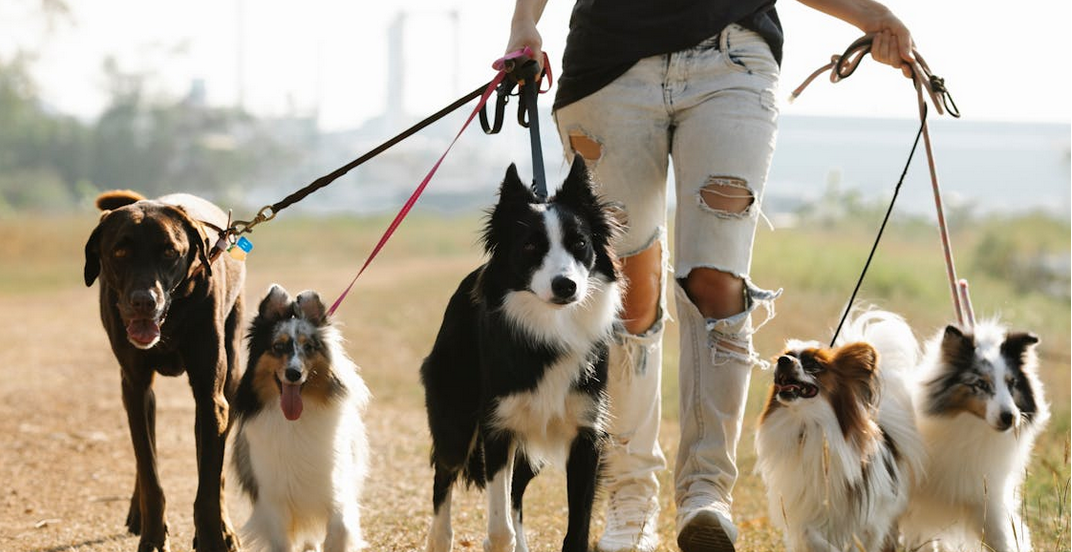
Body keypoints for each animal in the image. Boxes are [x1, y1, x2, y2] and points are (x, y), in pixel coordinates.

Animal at [82, 190, 245, 552]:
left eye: (170, 251)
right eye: (120, 252)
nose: (144, 301)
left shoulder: (211, 397)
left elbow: (208, 485)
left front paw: (212, 538)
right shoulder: (135, 386)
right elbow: (149, 472)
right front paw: (153, 537)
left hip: (230, 380)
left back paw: (226, 528)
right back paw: (138, 511)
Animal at [418, 158, 621, 552]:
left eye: (580, 244)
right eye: (529, 246)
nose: (566, 286)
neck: (549, 327)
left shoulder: (587, 432)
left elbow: (576, 529)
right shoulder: (498, 426)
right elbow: (499, 528)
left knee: (516, 493)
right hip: (456, 414)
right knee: (443, 474)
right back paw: (439, 538)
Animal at [754, 310, 930, 552]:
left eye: (813, 364)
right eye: (787, 355)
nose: (783, 361)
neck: (808, 424)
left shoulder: (868, 518)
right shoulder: (804, 508)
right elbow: (809, 533)